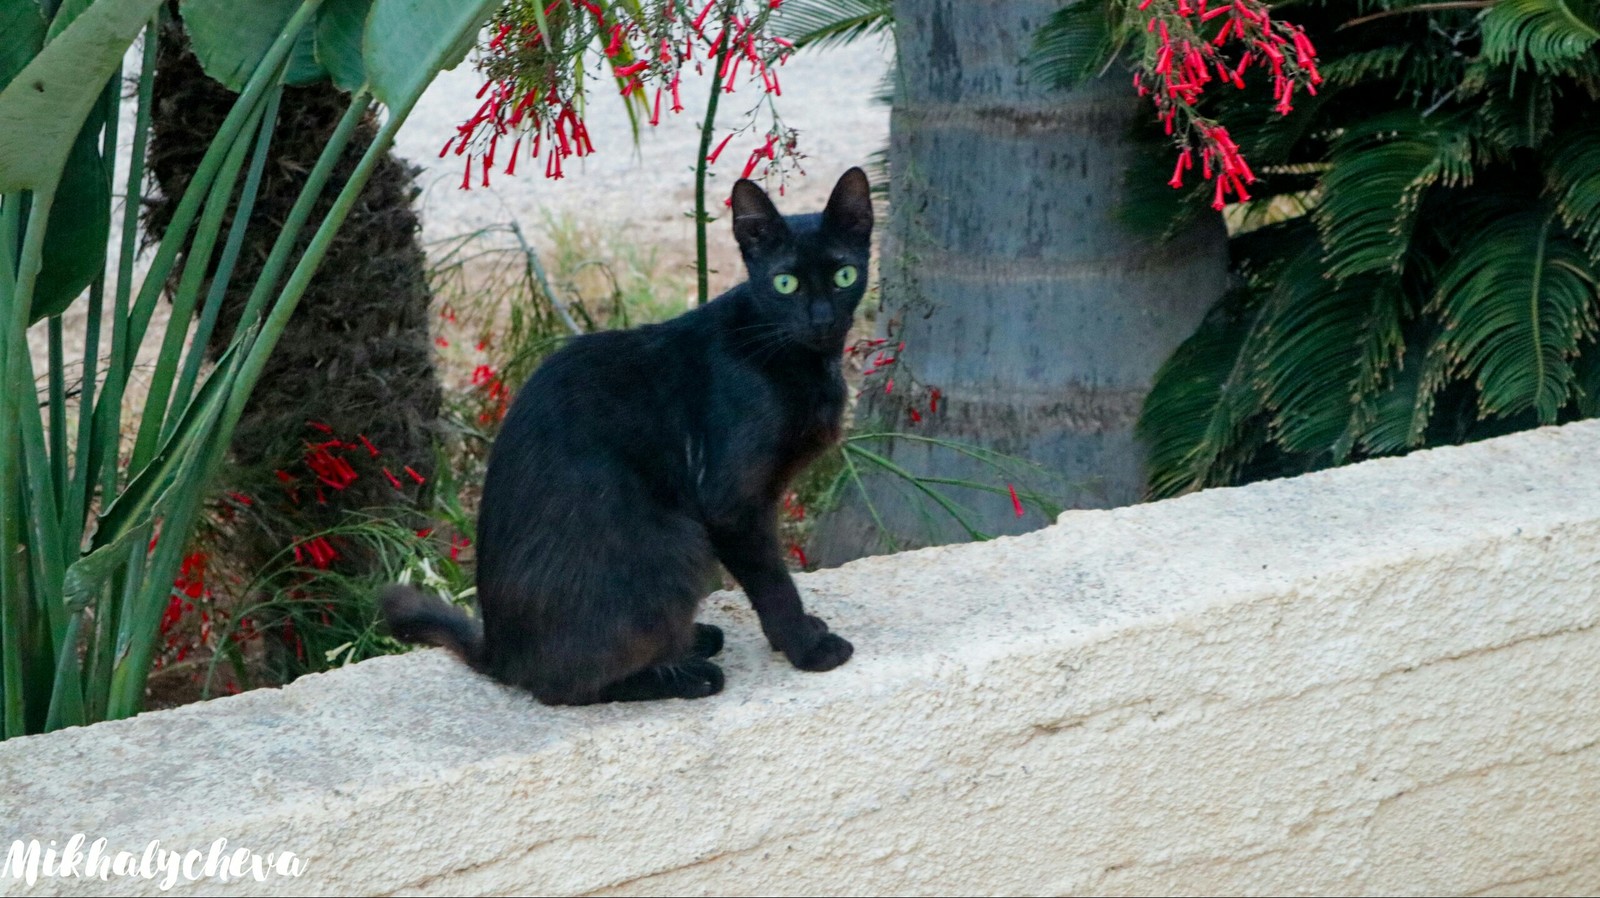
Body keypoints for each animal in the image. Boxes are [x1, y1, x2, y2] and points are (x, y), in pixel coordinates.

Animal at [377, 166, 876, 701]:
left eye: (844, 275)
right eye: (785, 284)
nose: (822, 319)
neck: (792, 356)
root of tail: (497, 653)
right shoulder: (734, 506)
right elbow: (773, 582)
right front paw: (806, 646)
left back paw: (692, 641)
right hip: (677, 540)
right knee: (564, 687)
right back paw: (686, 674)